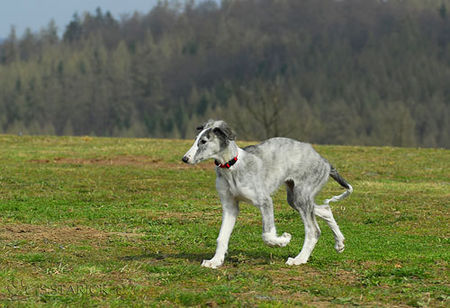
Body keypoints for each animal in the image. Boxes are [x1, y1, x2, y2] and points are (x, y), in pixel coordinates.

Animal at [182, 119, 352, 268]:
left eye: (204, 141)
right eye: (195, 139)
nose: (185, 159)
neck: (232, 167)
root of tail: (325, 162)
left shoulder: (264, 201)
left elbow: (267, 235)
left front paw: (283, 240)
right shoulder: (230, 206)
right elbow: (222, 237)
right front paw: (215, 261)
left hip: (302, 197)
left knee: (314, 231)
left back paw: (299, 259)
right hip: (295, 198)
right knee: (325, 209)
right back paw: (339, 243)